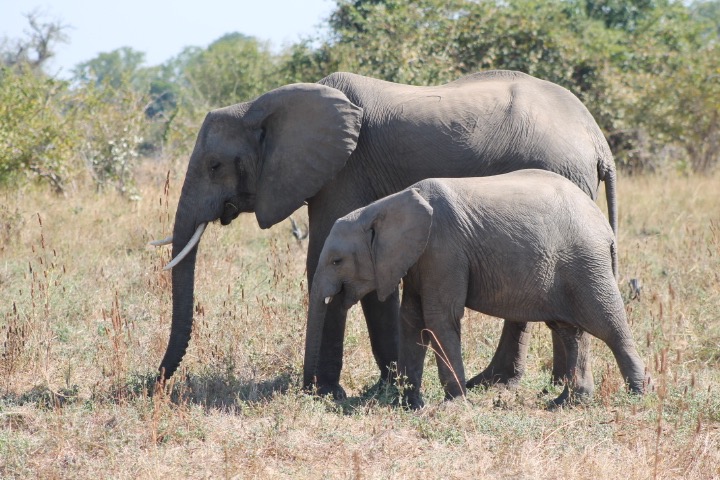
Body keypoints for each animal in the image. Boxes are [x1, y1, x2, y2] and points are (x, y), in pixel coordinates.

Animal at [155, 68, 616, 398]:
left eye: (215, 166)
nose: (156, 383)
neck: (262, 104)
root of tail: (596, 138)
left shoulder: (343, 172)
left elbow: (326, 261)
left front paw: (334, 392)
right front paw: (383, 388)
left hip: (556, 171)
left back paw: (507, 384)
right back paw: (537, 384)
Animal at [304, 170, 648, 408]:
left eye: (336, 261)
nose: (312, 393)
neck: (385, 205)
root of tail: (604, 226)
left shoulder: (443, 249)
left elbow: (438, 317)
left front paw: (453, 405)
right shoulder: (419, 258)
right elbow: (412, 319)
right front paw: (408, 404)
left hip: (586, 261)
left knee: (607, 324)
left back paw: (638, 395)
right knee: (570, 330)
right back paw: (567, 403)